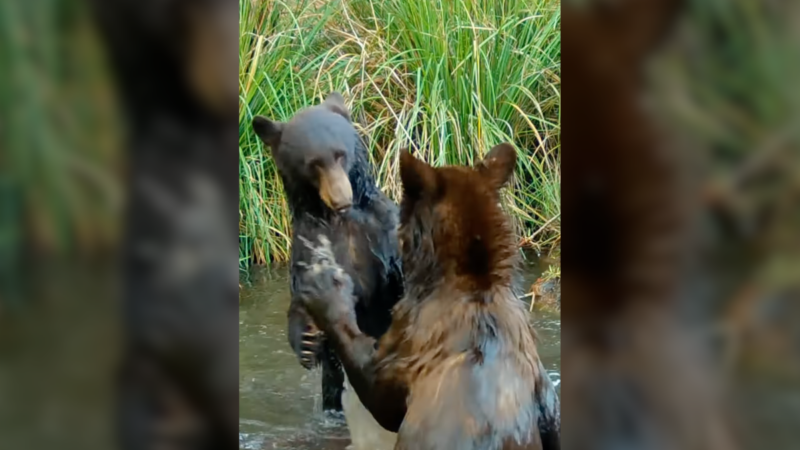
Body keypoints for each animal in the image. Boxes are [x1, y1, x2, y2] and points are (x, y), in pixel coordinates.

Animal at [252, 91, 404, 412]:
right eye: (313, 163)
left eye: (340, 154)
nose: (341, 198)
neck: (340, 220)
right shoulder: (310, 242)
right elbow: (303, 294)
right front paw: (308, 340)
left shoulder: (383, 232)